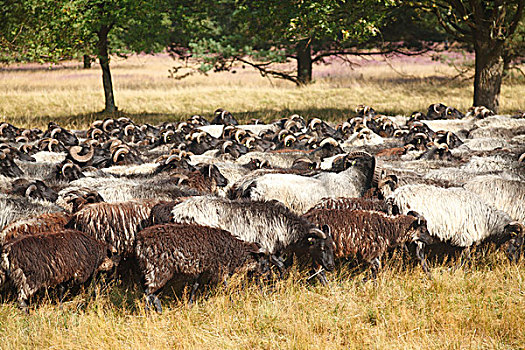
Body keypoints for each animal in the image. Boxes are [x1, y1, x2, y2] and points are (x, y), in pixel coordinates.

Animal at [135, 223, 266, 310]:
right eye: (262, 261)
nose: (264, 274)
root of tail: (140, 241)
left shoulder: (204, 270)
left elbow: (196, 286)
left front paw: (190, 304)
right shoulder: (219, 269)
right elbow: (226, 286)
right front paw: (233, 303)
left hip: (153, 270)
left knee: (151, 293)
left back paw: (158, 311)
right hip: (158, 269)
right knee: (148, 293)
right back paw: (148, 313)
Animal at [170, 196, 338, 278]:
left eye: (332, 247)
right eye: (321, 247)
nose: (331, 266)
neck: (285, 227)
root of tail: (176, 212)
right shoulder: (266, 248)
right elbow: (280, 268)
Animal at [302, 209, 430, 278]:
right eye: (422, 230)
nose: (431, 240)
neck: (388, 228)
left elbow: (376, 268)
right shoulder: (370, 251)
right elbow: (376, 268)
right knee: (318, 271)